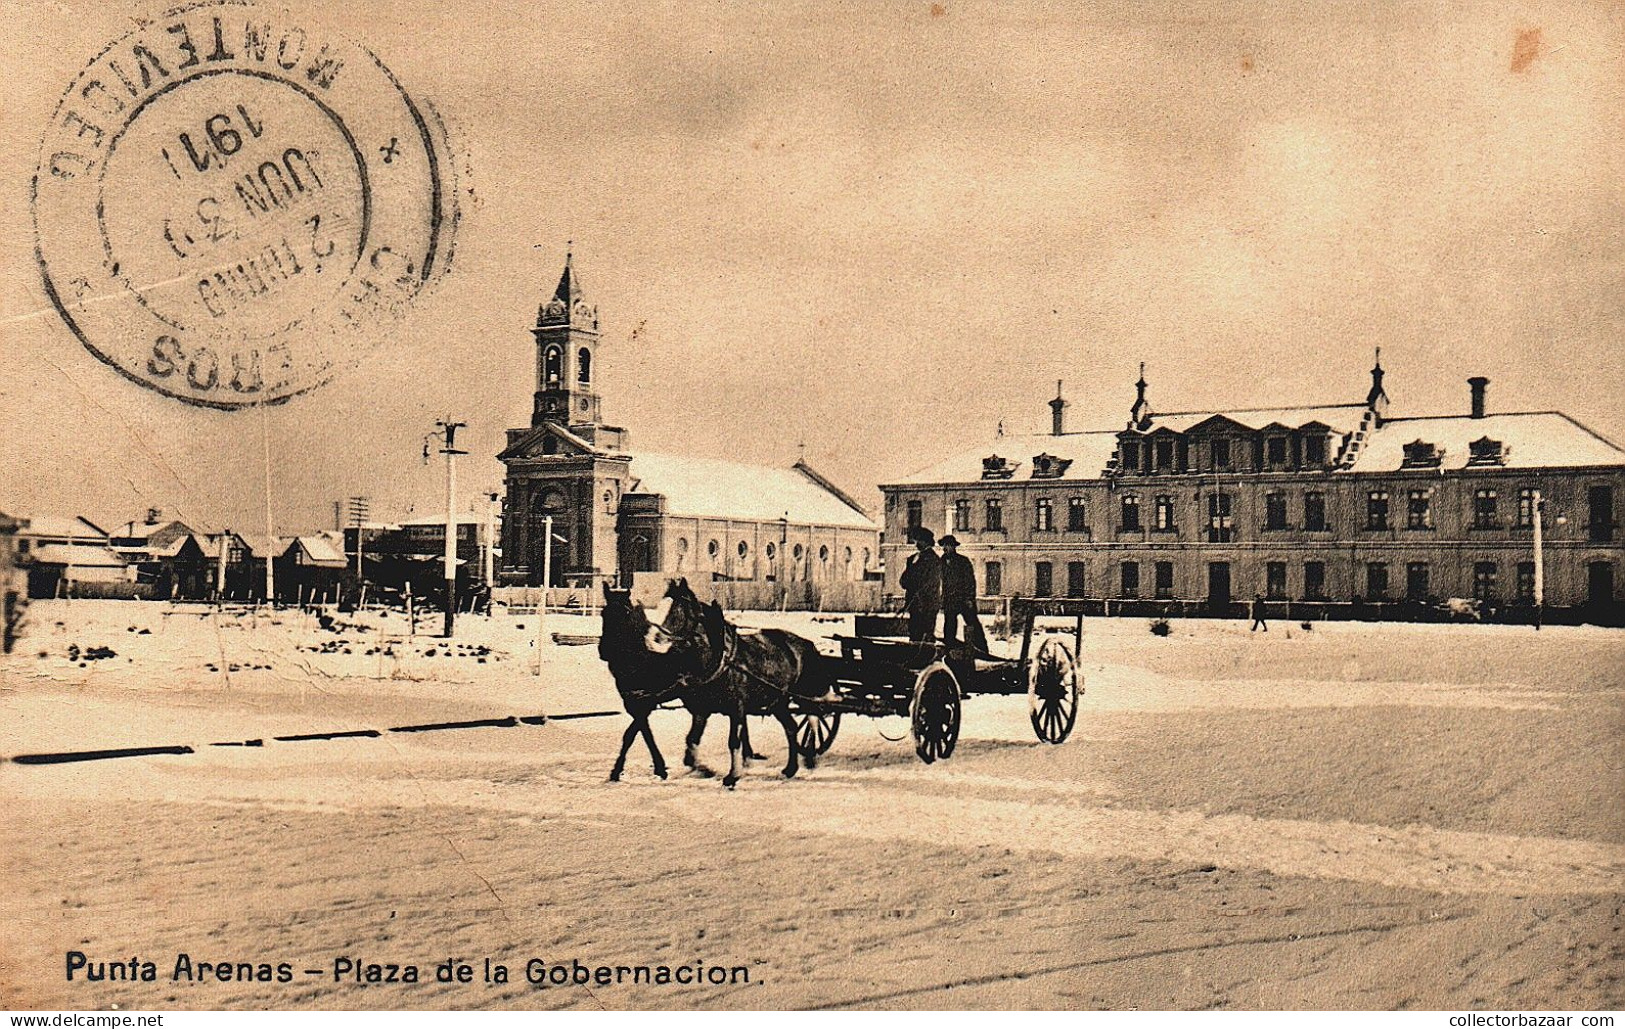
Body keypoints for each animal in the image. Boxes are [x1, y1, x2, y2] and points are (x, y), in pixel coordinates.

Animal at [640, 578, 832, 786]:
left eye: (676, 611)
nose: (651, 641)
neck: (722, 660)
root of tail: (807, 643)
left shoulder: (737, 709)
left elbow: (733, 741)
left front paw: (732, 775)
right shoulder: (701, 710)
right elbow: (691, 741)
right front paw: (704, 769)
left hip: (803, 695)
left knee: (812, 719)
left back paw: (810, 758)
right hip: (778, 701)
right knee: (791, 727)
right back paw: (791, 768)